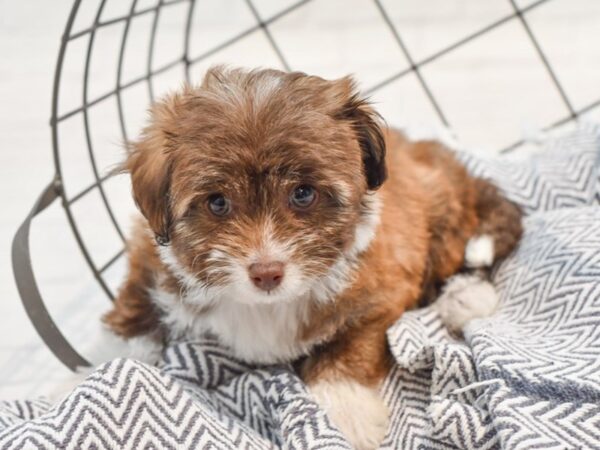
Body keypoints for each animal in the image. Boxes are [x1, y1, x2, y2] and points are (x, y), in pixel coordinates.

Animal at [103, 67, 520, 450]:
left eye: (303, 194)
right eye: (217, 203)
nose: (266, 273)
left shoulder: (382, 292)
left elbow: (352, 344)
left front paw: (343, 410)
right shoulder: (149, 254)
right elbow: (136, 304)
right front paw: (108, 360)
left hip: (443, 210)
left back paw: (466, 296)